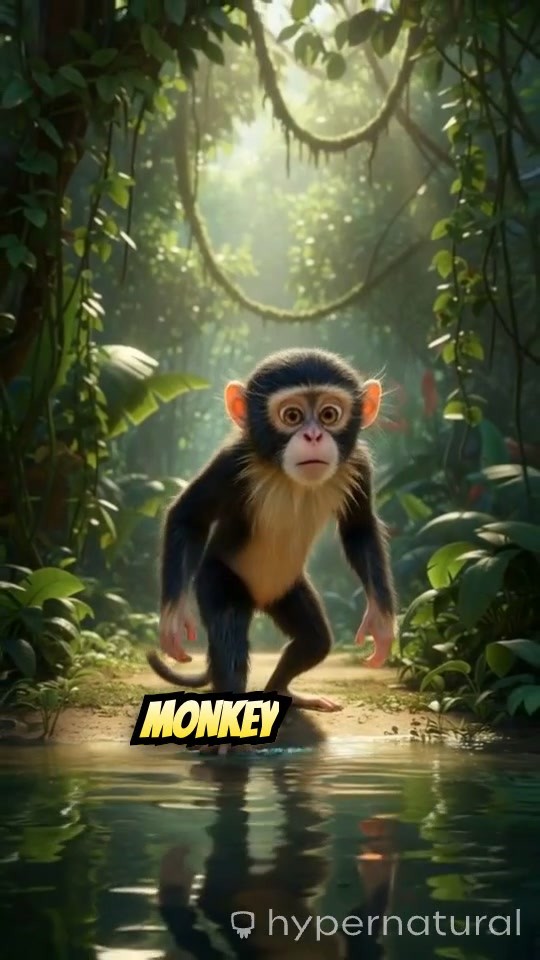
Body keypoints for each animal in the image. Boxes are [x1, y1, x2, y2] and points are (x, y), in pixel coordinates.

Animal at [147, 348, 396, 715]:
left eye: (329, 414)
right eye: (292, 415)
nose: (313, 436)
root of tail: (260, 599)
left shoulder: (359, 464)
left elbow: (359, 529)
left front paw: (380, 623)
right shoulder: (231, 462)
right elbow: (188, 518)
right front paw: (174, 620)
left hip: (287, 589)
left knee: (313, 640)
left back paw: (284, 691)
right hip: (217, 577)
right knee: (230, 635)